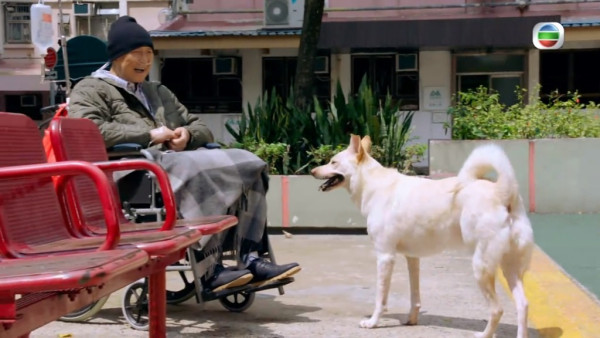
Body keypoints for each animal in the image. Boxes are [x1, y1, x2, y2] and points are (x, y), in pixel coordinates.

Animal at [312, 135, 532, 338]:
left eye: (333, 162)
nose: (312, 171)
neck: (374, 184)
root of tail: (503, 192)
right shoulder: (412, 258)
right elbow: (415, 296)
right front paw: (411, 320)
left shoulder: (385, 257)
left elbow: (380, 298)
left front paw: (373, 322)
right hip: (509, 267)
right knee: (523, 305)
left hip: (482, 267)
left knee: (497, 309)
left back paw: (484, 334)